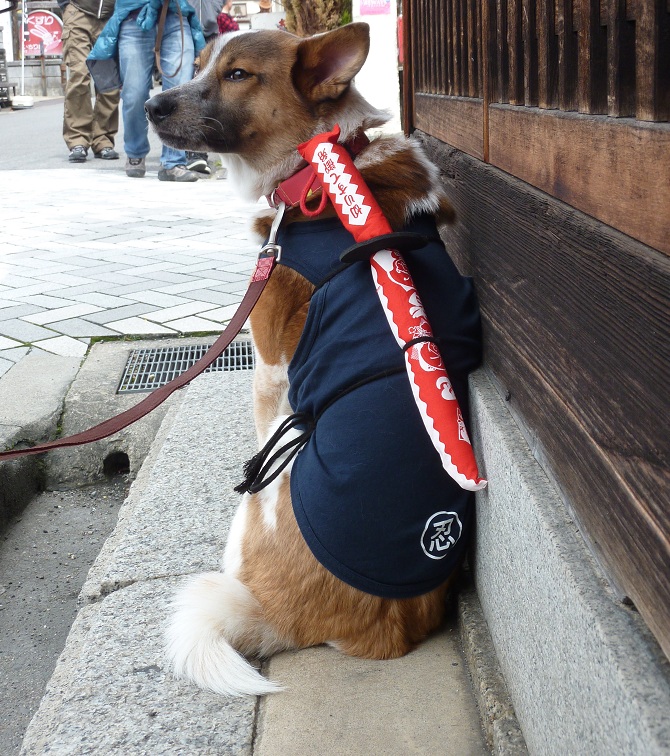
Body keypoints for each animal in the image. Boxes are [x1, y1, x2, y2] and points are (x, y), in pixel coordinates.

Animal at [145, 22, 482, 697]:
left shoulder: (272, 363)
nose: (150, 106)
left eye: (238, 75)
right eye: (200, 63)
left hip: (264, 487)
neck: (320, 165)